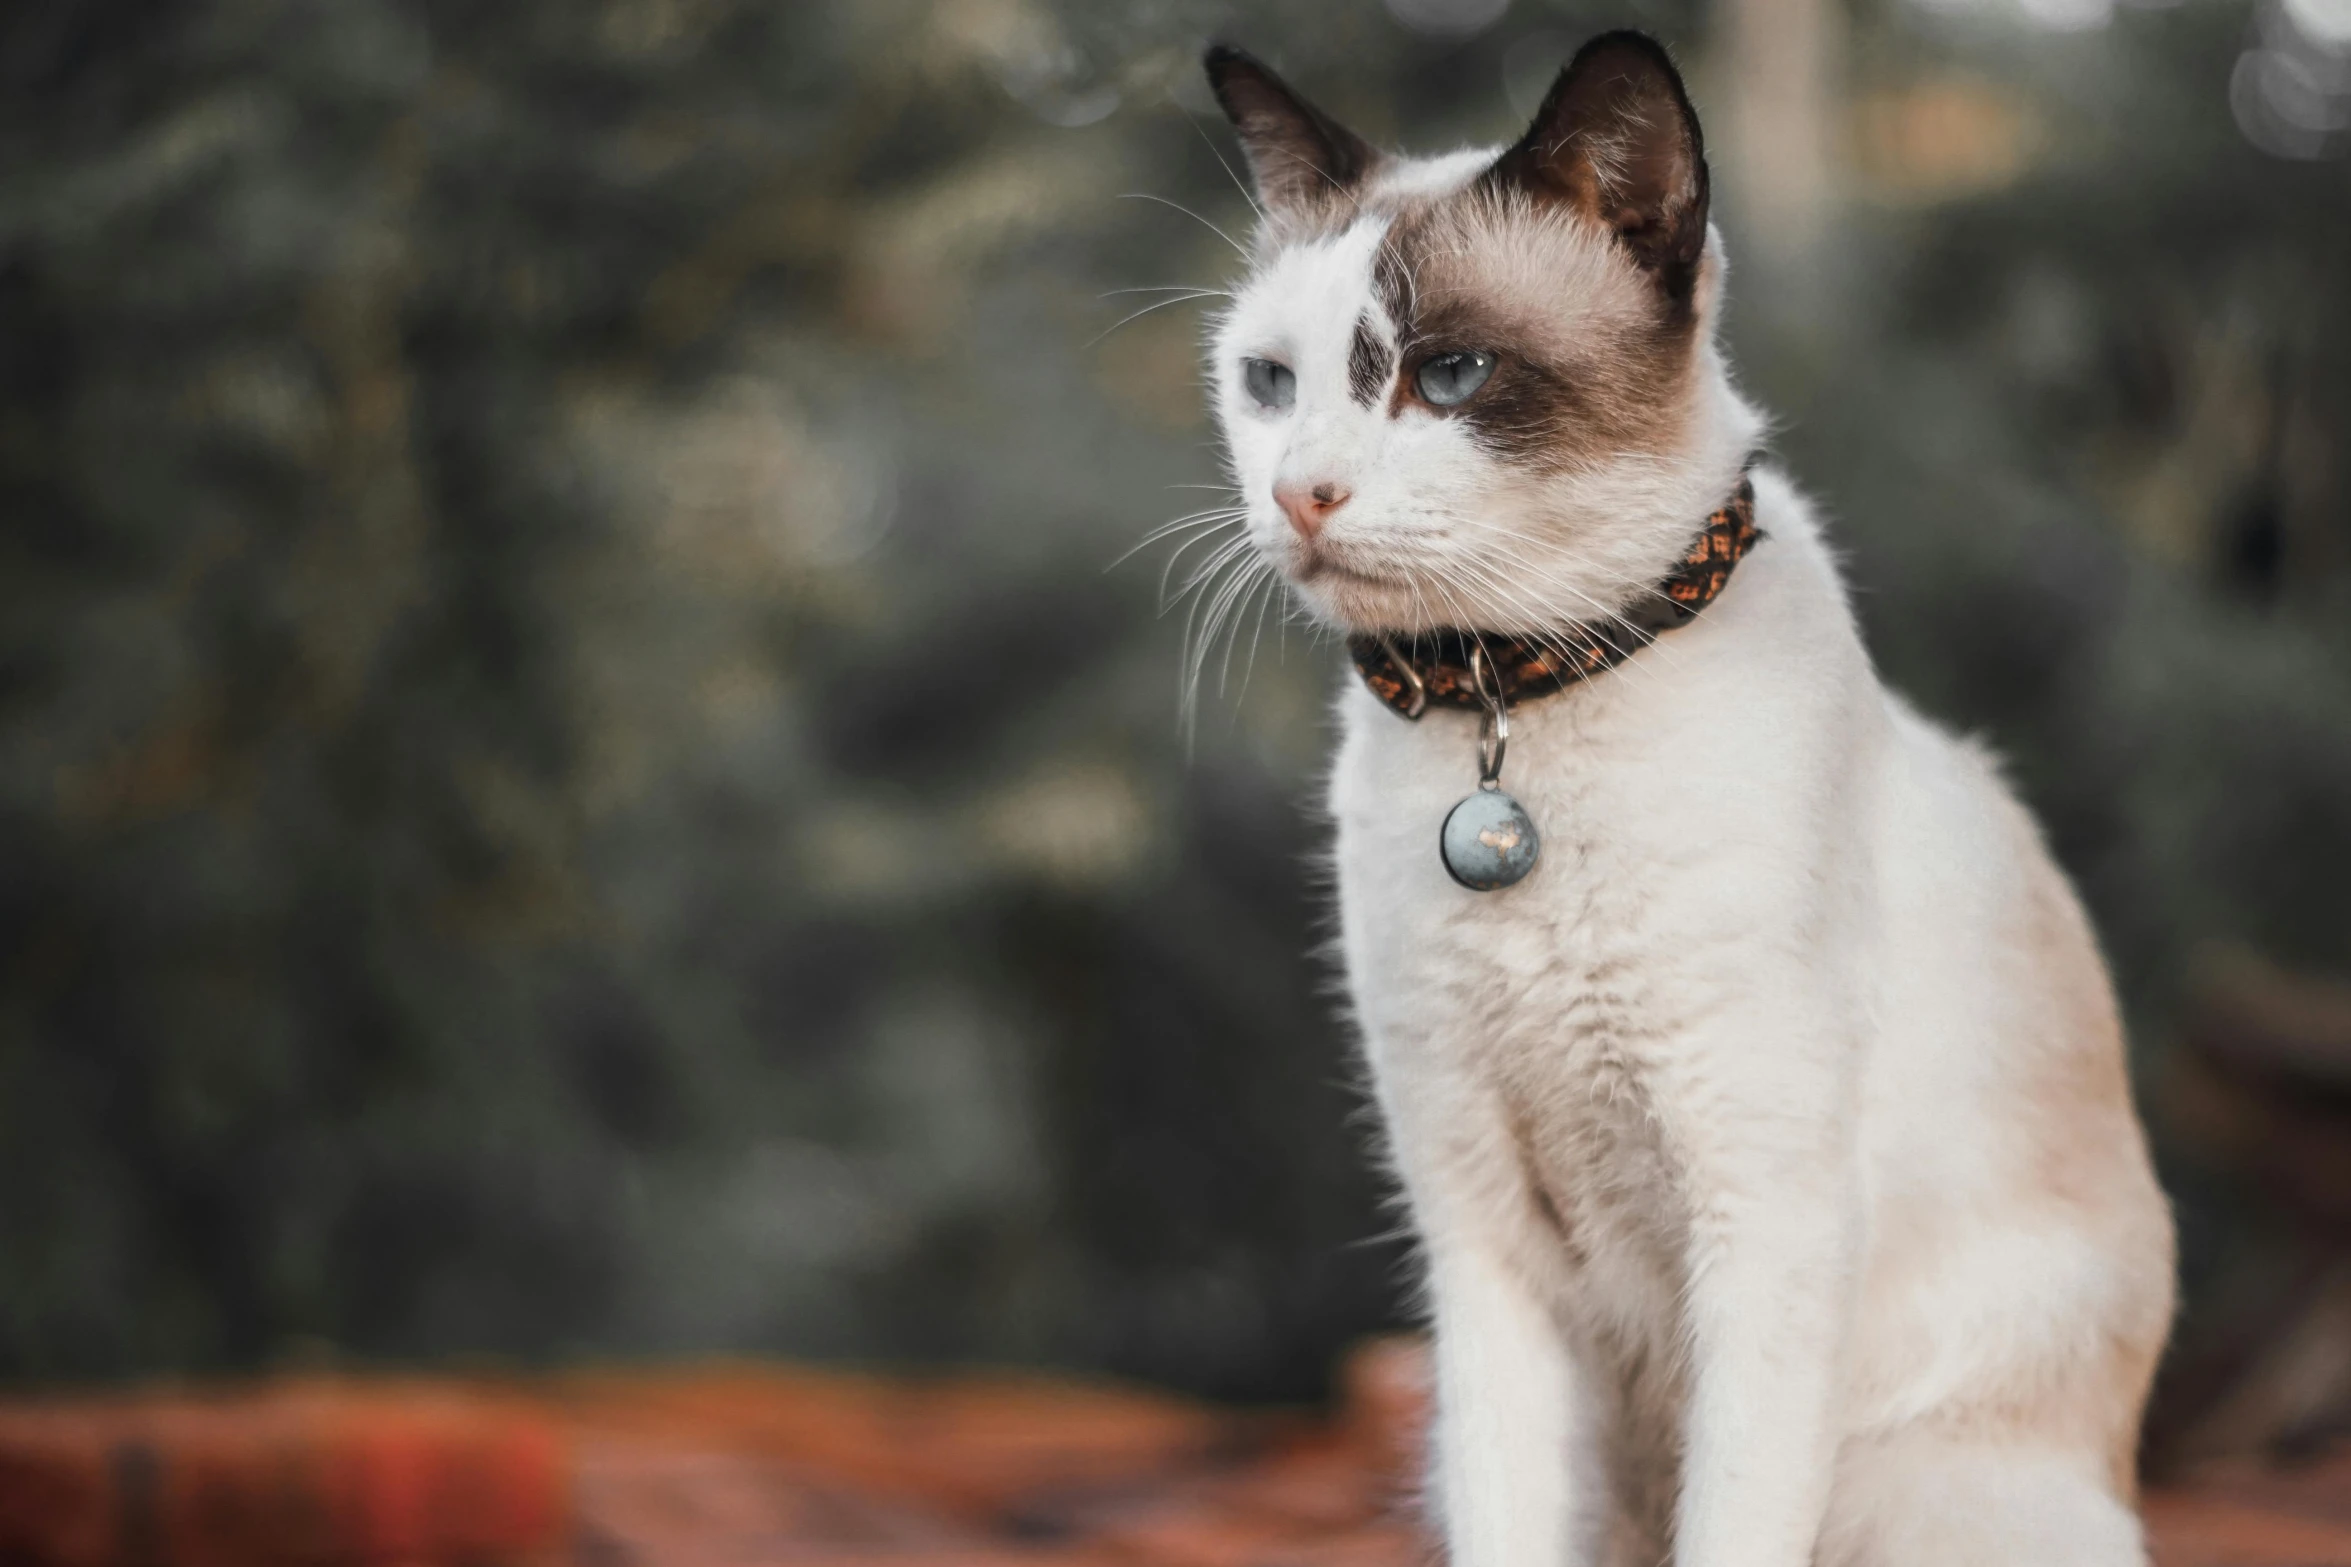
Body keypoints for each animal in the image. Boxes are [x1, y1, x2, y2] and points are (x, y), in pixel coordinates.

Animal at [1203, 27, 2172, 1567]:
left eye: (1449, 374)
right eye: (1268, 383)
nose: (1299, 494)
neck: (1510, 696)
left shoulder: (1759, 1222)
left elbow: (1732, 1519)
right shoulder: (1479, 1237)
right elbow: (1508, 1519)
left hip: (1920, 1495)